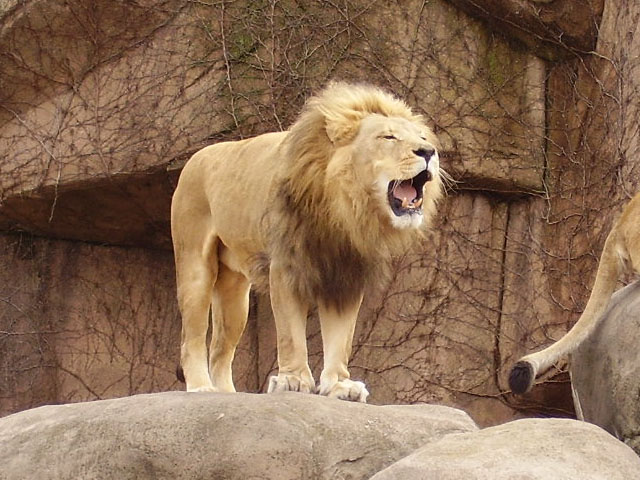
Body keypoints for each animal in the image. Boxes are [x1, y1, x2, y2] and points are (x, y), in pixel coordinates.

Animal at [170, 82, 442, 402]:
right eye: (388, 137)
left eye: (422, 137)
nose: (429, 151)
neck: (344, 209)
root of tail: (194, 158)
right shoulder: (286, 266)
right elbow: (291, 333)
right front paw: (294, 380)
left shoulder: (346, 275)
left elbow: (341, 337)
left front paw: (340, 385)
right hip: (195, 266)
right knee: (191, 338)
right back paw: (201, 387)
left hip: (235, 293)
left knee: (219, 350)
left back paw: (227, 395)